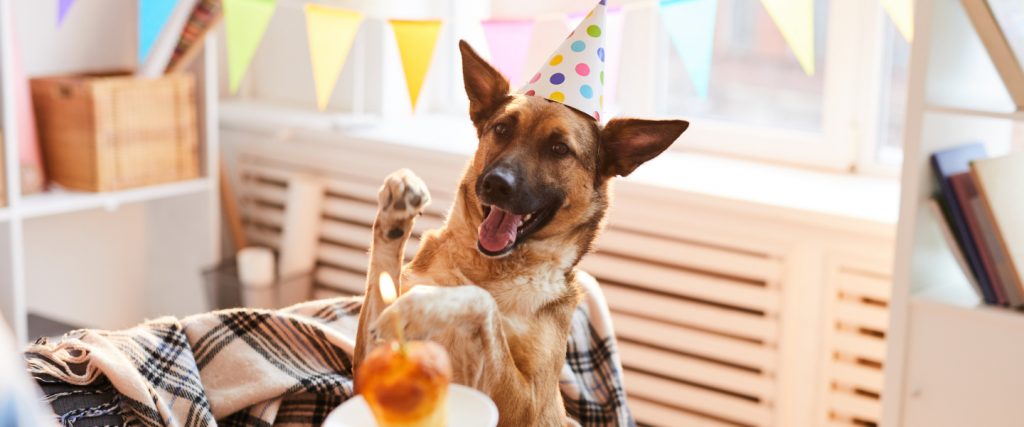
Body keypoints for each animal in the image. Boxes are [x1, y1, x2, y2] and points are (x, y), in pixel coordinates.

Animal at [356, 40, 692, 425]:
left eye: (559, 149)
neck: (492, 270)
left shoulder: (528, 404)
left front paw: (426, 305)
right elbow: (382, 277)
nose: (496, 184)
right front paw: (395, 214)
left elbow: (479, 301)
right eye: (502, 129)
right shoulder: (374, 362)